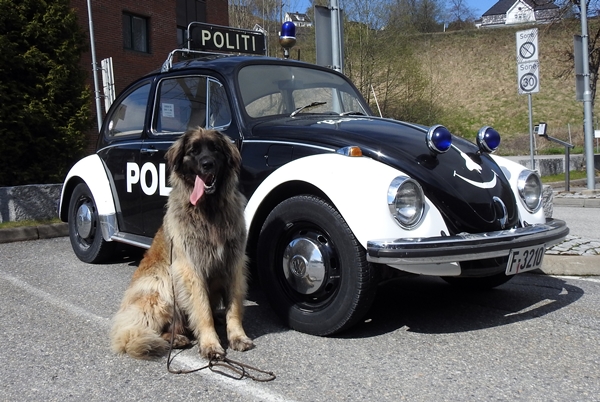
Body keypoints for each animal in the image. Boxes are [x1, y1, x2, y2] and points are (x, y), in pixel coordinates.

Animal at [110, 128, 253, 358]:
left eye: (215, 149)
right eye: (193, 152)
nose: (207, 164)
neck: (209, 210)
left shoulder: (234, 263)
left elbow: (234, 307)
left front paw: (238, 336)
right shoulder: (190, 267)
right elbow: (202, 310)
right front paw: (210, 344)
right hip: (162, 286)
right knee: (151, 329)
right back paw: (174, 338)